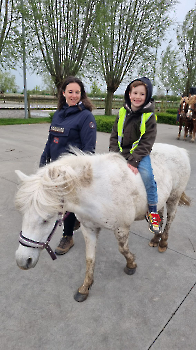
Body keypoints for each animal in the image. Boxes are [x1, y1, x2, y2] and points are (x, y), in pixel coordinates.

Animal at [14, 143, 191, 300]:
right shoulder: (89, 229)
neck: (98, 192)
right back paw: (155, 238)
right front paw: (85, 287)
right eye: (23, 214)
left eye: (46, 219)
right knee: (160, 213)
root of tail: (181, 150)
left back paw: (163, 243)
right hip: (162, 199)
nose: (23, 261)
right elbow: (90, 258)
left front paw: (131, 265)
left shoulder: (121, 228)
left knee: (170, 219)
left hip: (174, 197)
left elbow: (123, 249)